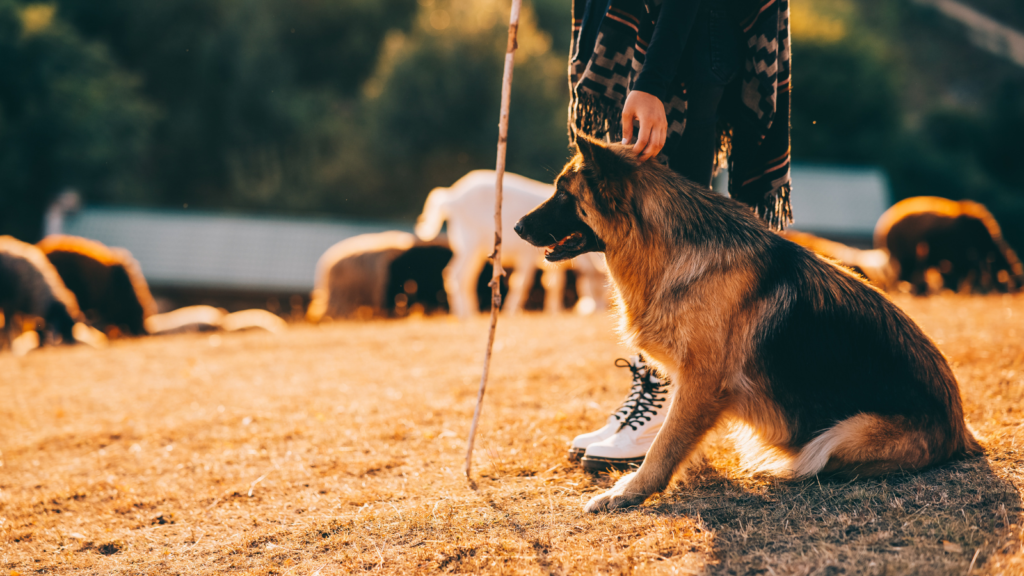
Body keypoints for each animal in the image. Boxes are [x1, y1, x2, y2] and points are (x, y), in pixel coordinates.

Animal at [415, 168, 602, 319]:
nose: (599, 310)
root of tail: (451, 197)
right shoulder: (527, 255)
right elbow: (521, 282)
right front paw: (511, 313)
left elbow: (554, 284)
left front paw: (554, 312)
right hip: (470, 242)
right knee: (457, 274)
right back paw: (467, 315)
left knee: (464, 276)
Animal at [516, 135, 987, 510]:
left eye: (563, 193)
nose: (517, 225)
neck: (668, 243)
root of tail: (959, 428)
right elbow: (674, 437)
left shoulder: (703, 381)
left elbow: (665, 444)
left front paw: (629, 491)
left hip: (842, 434)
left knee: (815, 460)